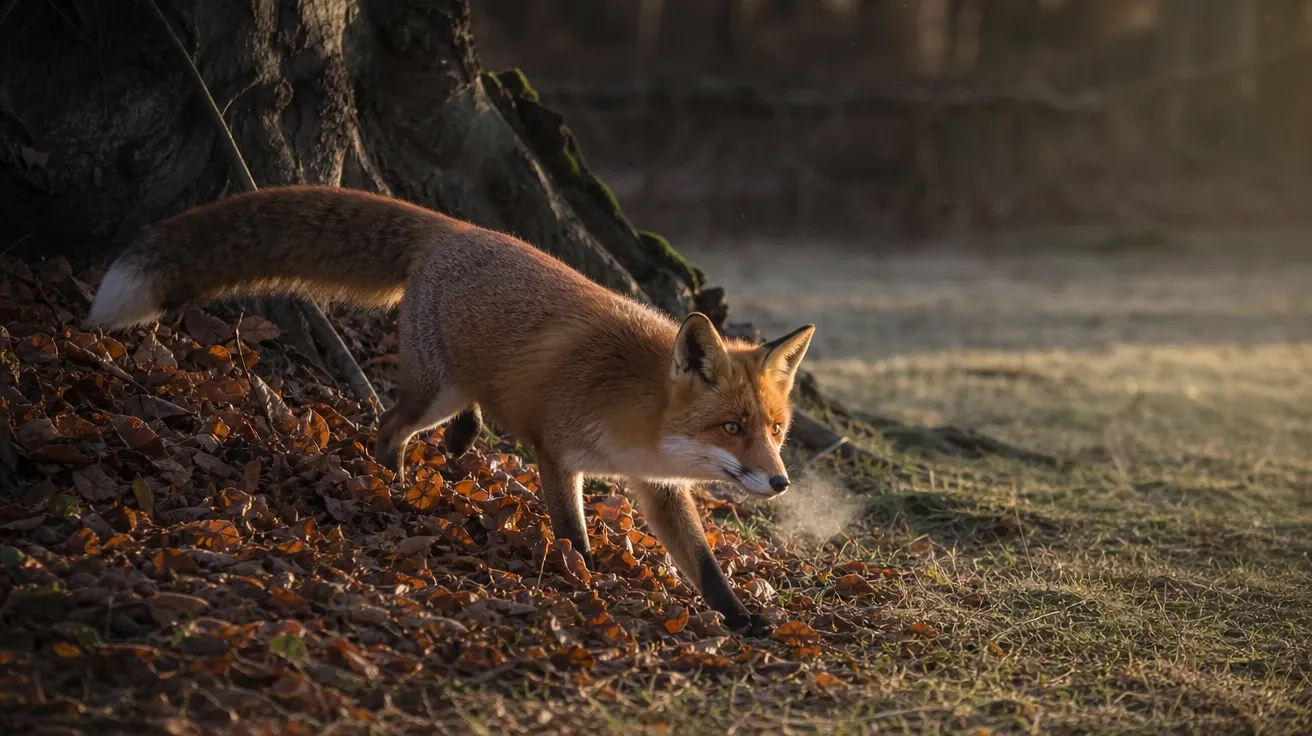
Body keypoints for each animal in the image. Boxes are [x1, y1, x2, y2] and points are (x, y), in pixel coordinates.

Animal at [86, 185, 815, 634]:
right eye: (732, 428)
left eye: (775, 429)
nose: (781, 481)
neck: (638, 415)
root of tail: (455, 229)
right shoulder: (557, 454)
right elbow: (572, 534)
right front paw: (583, 583)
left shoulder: (659, 488)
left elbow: (703, 565)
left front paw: (740, 619)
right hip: (431, 390)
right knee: (389, 427)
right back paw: (396, 484)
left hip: (456, 384)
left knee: (465, 413)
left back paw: (462, 441)